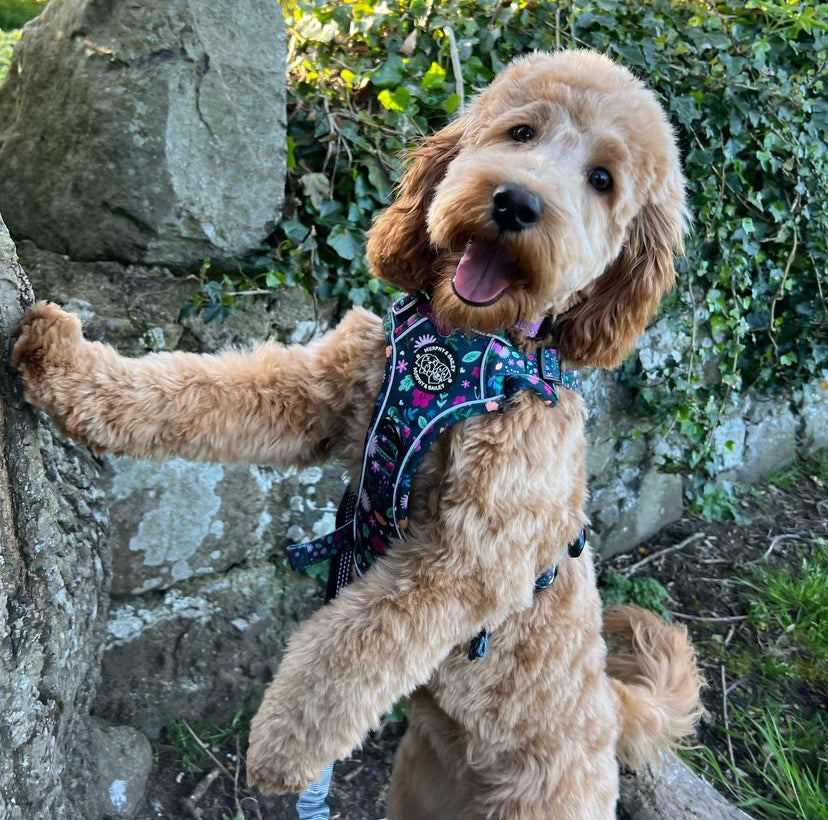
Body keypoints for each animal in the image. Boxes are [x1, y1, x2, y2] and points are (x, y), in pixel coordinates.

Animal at [9, 51, 700, 820]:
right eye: (521, 132)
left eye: (602, 180)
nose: (516, 203)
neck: (461, 348)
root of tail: (609, 706)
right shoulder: (320, 395)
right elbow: (194, 388)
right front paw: (63, 365)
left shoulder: (465, 561)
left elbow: (353, 648)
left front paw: (283, 750)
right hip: (419, 788)